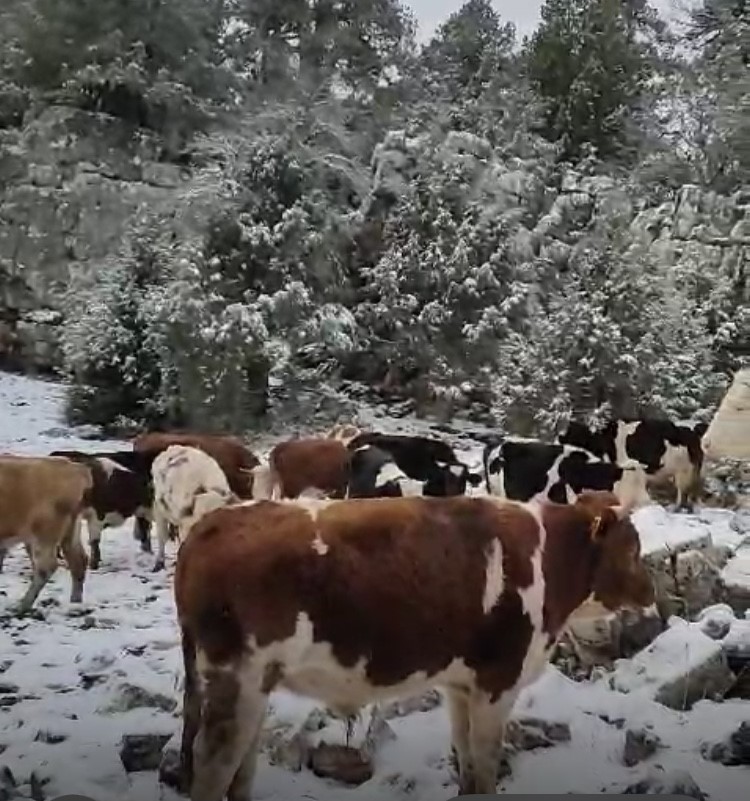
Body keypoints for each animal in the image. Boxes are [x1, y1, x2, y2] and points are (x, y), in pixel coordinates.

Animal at [0, 454, 92, 616]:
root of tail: (74, 467)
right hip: (70, 532)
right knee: (78, 561)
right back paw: (75, 603)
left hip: (44, 535)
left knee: (46, 567)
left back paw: (23, 606)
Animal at [175, 488, 652, 800]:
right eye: (631, 548)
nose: (649, 594)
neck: (549, 562)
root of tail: (209, 525)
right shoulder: (498, 682)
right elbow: (485, 763)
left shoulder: (462, 685)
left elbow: (466, 757)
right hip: (235, 679)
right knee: (214, 765)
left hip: (252, 685)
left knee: (241, 769)